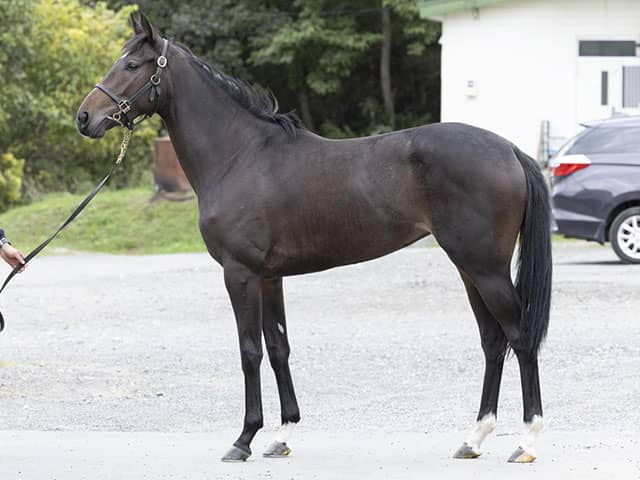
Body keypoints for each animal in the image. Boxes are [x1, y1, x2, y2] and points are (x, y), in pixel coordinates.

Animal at [77, 12, 552, 464]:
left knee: (520, 338)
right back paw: (473, 439)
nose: (85, 117)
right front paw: (282, 436)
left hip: (486, 269)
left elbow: (249, 351)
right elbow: (278, 347)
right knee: (493, 341)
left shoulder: (240, 273)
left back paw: (527, 442)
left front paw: (244, 439)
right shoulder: (270, 277)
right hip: (469, 269)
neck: (239, 156)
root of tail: (510, 150)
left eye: (132, 65)